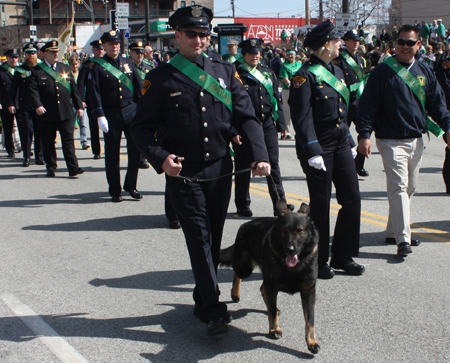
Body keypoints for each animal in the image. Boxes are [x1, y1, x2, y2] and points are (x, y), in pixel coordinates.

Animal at [219, 200, 320, 354]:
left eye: (300, 231)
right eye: (284, 231)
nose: (290, 250)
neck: (292, 268)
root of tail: (245, 225)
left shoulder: (308, 292)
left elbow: (310, 321)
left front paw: (312, 341)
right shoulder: (272, 286)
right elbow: (271, 311)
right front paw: (274, 329)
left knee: (262, 289)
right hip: (245, 268)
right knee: (237, 274)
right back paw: (235, 293)